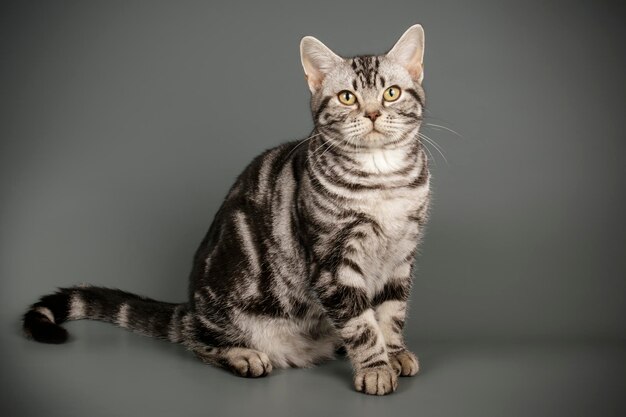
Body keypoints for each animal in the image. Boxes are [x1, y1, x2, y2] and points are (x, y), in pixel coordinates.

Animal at [25, 24, 434, 394]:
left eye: (392, 93)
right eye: (347, 97)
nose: (373, 113)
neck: (383, 180)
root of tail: (191, 307)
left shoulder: (401, 255)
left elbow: (390, 313)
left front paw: (394, 354)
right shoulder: (334, 264)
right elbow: (362, 325)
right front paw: (375, 368)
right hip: (226, 312)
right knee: (198, 342)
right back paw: (244, 355)